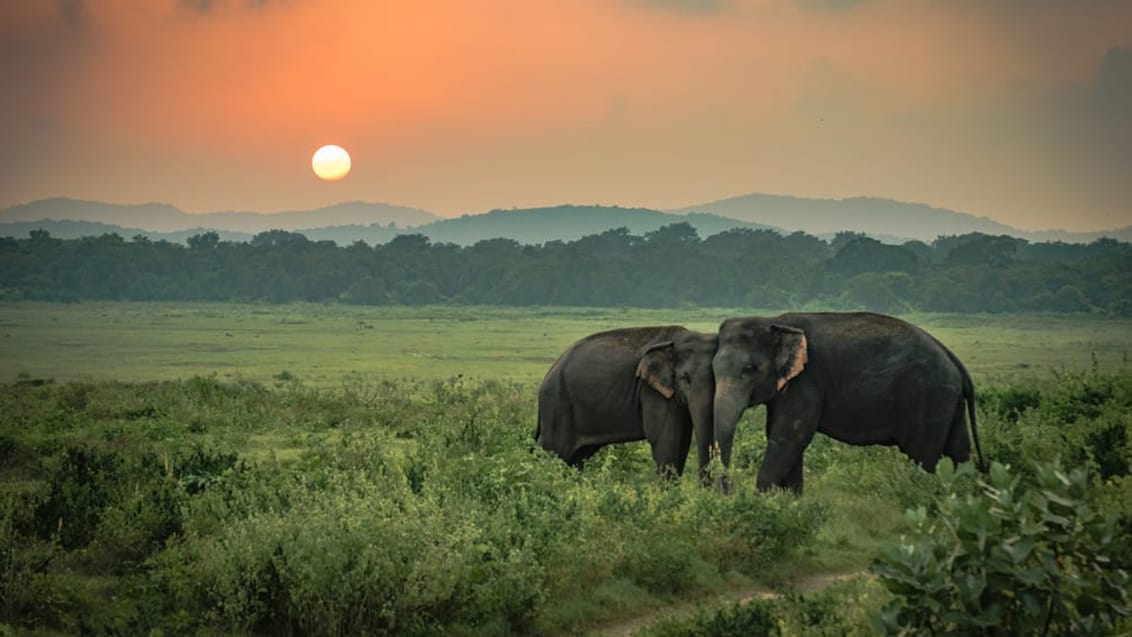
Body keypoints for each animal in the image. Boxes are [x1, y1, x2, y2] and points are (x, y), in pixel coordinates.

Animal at [536, 325, 715, 475]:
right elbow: (666, 441)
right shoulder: (651, 391)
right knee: (558, 454)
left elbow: (682, 442)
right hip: (556, 406)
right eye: (685, 378)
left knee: (576, 459)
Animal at [710, 312, 987, 493]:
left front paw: (761, 501)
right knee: (958, 449)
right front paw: (791, 503)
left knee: (922, 455)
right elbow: (783, 438)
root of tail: (954, 360)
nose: (728, 490)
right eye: (713, 369)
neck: (775, 322)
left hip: (930, 396)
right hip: (948, 400)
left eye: (749, 369)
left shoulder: (808, 380)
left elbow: (789, 437)